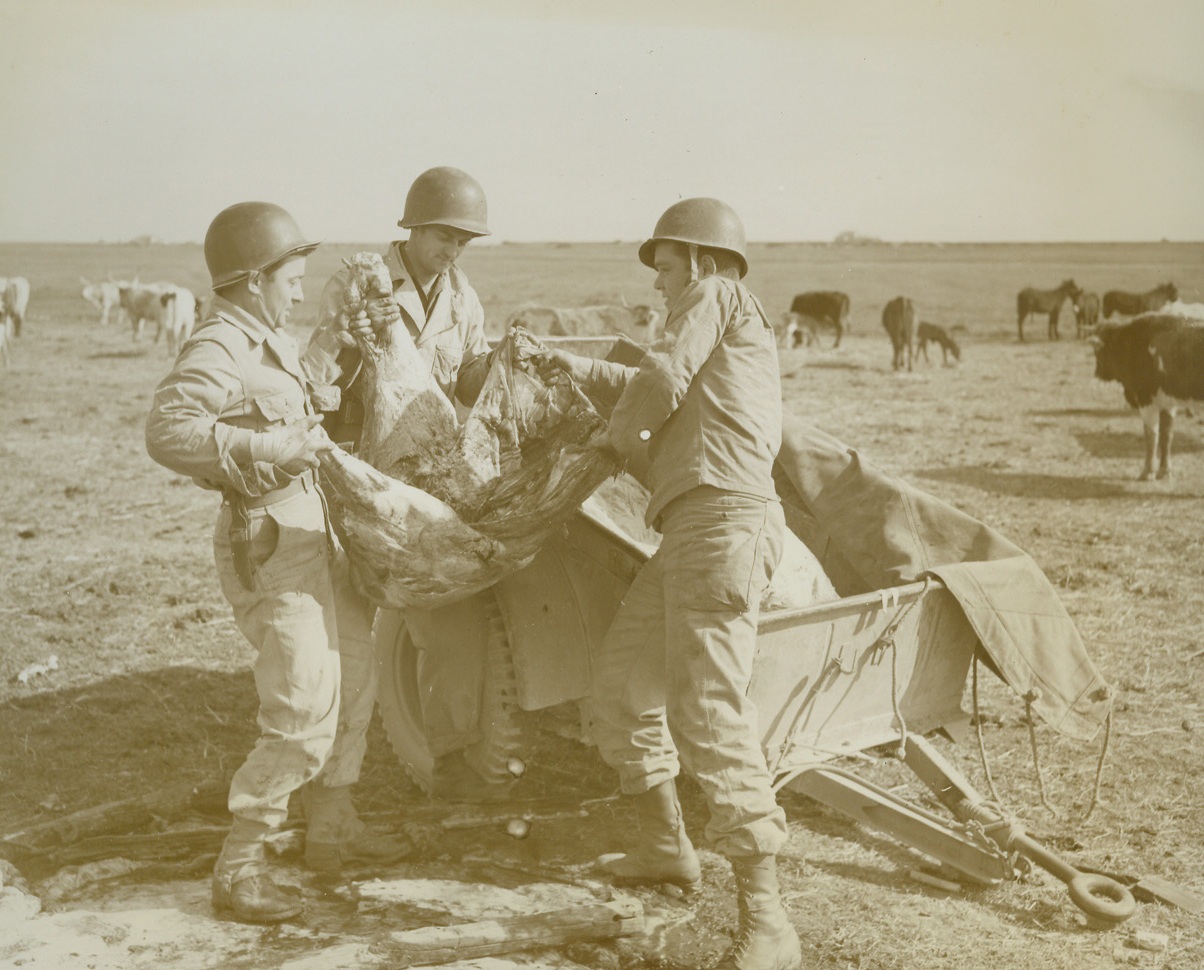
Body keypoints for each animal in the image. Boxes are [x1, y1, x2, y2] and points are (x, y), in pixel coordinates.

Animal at [1093, 315, 1204, 481]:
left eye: (1097, 352)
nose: (1097, 372)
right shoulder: (1168, 402)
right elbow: (1166, 435)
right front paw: (1164, 471)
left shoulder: (1146, 399)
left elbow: (1151, 435)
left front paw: (1147, 472)